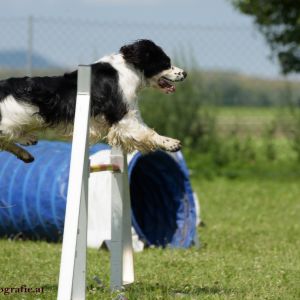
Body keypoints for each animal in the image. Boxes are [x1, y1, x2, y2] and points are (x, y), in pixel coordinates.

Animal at [0, 39, 186, 163]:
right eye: (166, 62)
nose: (185, 73)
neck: (128, 69)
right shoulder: (123, 114)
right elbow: (145, 131)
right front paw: (171, 143)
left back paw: (26, 150)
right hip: (11, 122)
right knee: (5, 138)